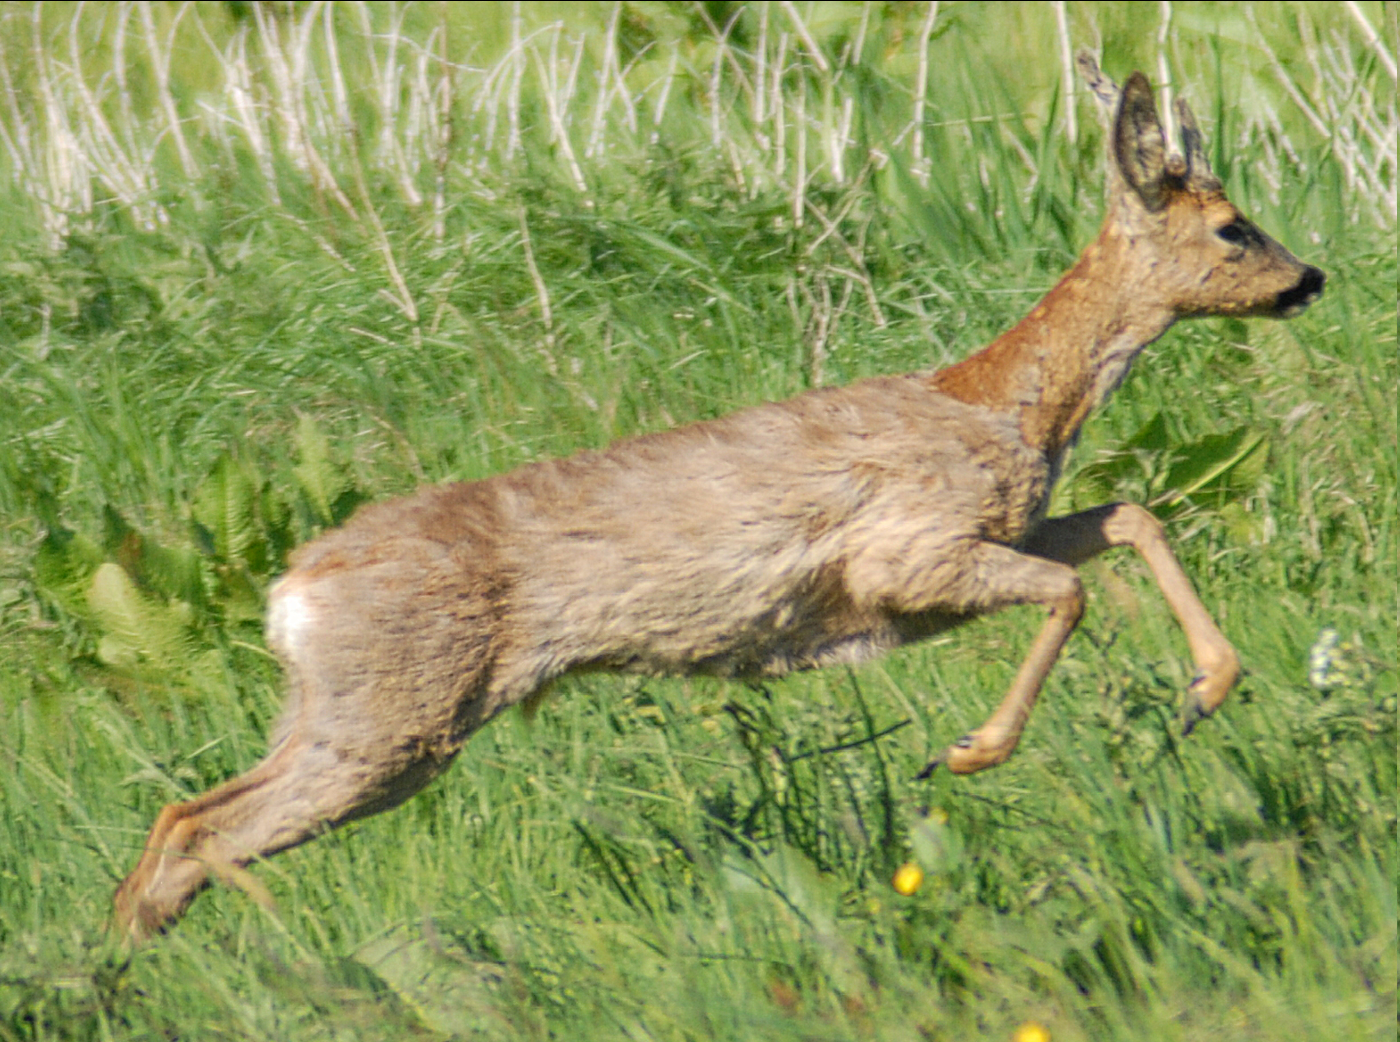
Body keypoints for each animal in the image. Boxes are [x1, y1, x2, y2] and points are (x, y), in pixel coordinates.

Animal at [113, 57, 1324, 940]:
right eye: (1232, 227)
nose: (1309, 278)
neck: (1009, 405)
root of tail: (289, 591)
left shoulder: (1001, 530)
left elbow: (1126, 516)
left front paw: (1206, 688)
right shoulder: (908, 554)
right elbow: (1068, 591)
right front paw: (968, 752)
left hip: (342, 706)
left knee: (182, 820)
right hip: (395, 709)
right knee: (206, 828)